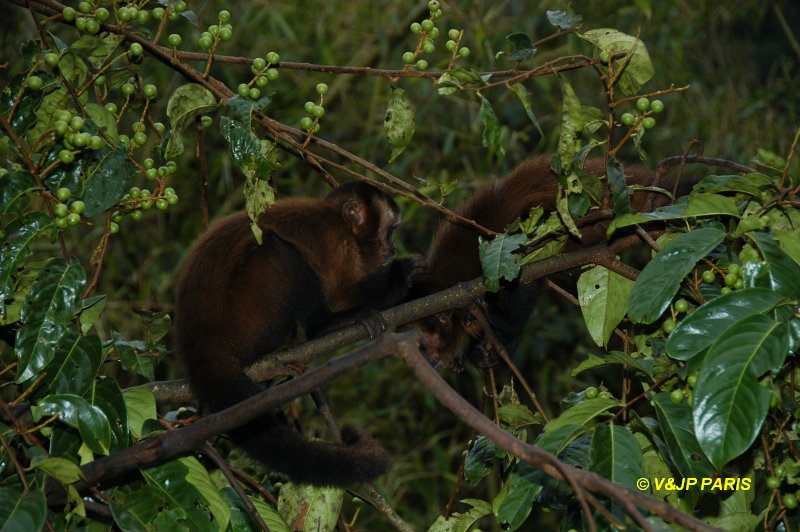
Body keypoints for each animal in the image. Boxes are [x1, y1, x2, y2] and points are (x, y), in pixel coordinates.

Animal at [176, 182, 424, 486]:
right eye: (389, 230)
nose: (394, 247)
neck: (342, 225)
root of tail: (197, 340)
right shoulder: (337, 242)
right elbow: (340, 295)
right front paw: (400, 277)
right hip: (246, 319)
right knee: (277, 252)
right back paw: (324, 326)